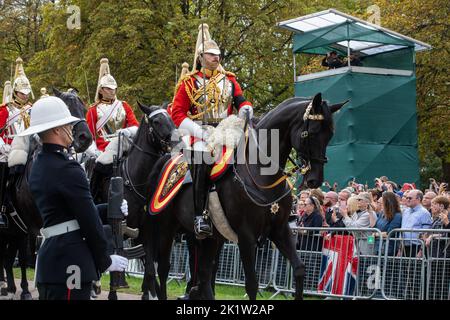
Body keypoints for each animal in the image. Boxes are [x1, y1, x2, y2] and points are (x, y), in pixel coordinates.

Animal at [0, 88, 92, 300]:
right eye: (67, 108)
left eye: (84, 108)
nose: (85, 138)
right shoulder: (34, 227)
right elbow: (30, 257)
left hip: (14, 231)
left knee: (8, 258)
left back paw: (11, 288)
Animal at [89, 103, 176, 300]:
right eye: (156, 121)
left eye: (170, 118)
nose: (176, 140)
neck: (136, 179)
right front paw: (113, 293)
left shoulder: (146, 231)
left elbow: (150, 269)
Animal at [146, 93, 346, 300]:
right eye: (311, 132)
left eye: (330, 135)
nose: (315, 179)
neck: (260, 172)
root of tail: (167, 159)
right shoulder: (246, 235)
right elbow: (251, 284)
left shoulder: (280, 230)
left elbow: (299, 268)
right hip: (166, 227)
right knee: (164, 267)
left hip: (211, 238)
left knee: (204, 273)